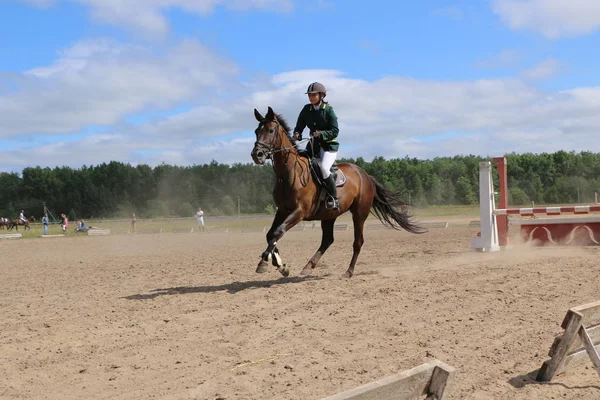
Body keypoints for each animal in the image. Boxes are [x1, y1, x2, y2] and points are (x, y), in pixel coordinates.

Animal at [251, 106, 428, 278]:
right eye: (256, 131)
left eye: (271, 130)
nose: (256, 154)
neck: (289, 174)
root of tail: (365, 175)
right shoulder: (282, 210)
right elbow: (271, 234)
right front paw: (277, 265)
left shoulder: (299, 212)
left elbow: (278, 232)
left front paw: (268, 262)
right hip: (329, 215)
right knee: (327, 240)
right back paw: (309, 267)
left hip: (359, 213)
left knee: (358, 242)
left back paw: (348, 272)